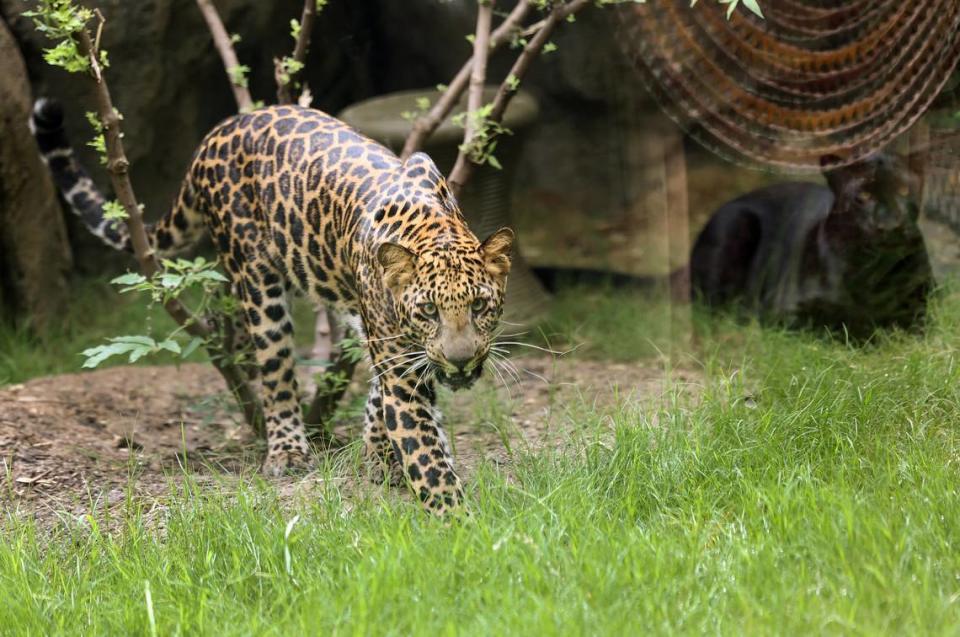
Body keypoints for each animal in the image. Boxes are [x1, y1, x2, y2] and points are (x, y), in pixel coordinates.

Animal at [30, 100, 512, 516]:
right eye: (428, 311)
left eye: (480, 305)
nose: (461, 360)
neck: (434, 226)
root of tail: (218, 132)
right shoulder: (401, 367)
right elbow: (425, 454)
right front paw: (456, 522)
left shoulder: (391, 343)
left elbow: (385, 402)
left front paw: (382, 457)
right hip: (258, 279)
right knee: (275, 371)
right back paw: (287, 451)